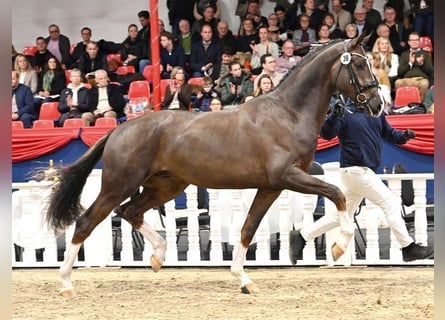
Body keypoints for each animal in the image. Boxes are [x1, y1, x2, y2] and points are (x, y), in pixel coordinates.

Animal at [46, 33, 384, 296]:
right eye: (358, 64)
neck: (287, 114)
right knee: (88, 221)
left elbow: (248, 228)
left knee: (130, 212)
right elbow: (337, 194)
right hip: (119, 184)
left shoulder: (271, 186)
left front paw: (244, 280)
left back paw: (158, 256)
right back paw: (65, 283)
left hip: (166, 186)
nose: (378, 105)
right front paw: (339, 246)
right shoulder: (289, 176)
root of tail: (118, 129)